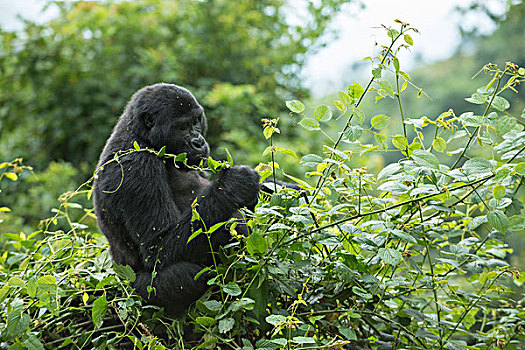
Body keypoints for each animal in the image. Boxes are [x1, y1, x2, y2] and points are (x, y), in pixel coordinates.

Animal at [93, 84, 260, 314]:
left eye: (196, 121)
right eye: (182, 127)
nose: (198, 142)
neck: (142, 136)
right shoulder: (137, 165)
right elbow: (159, 249)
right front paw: (233, 186)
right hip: (132, 291)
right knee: (185, 277)